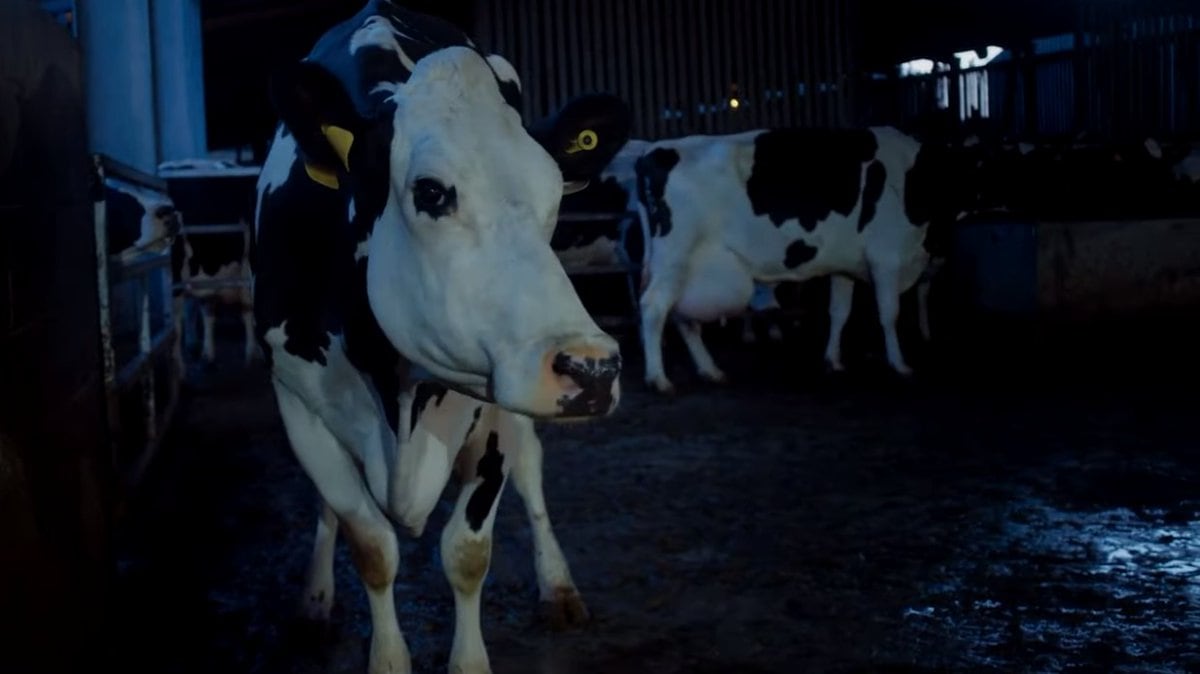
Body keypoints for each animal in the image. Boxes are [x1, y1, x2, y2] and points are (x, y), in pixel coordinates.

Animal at [249, 2, 633, 666]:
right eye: (431, 191)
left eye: (555, 195)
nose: (592, 368)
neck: (396, 394)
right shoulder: (297, 398)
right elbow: (370, 544)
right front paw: (381, 653)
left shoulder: (494, 406)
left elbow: (467, 551)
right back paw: (314, 603)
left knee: (532, 473)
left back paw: (558, 587)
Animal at [633, 126, 969, 390]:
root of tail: (652, 151)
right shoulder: (886, 258)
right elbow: (889, 314)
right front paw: (900, 365)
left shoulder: (844, 267)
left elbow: (839, 313)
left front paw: (833, 361)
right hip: (676, 258)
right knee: (654, 307)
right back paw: (658, 378)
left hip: (688, 268)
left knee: (682, 317)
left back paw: (710, 370)